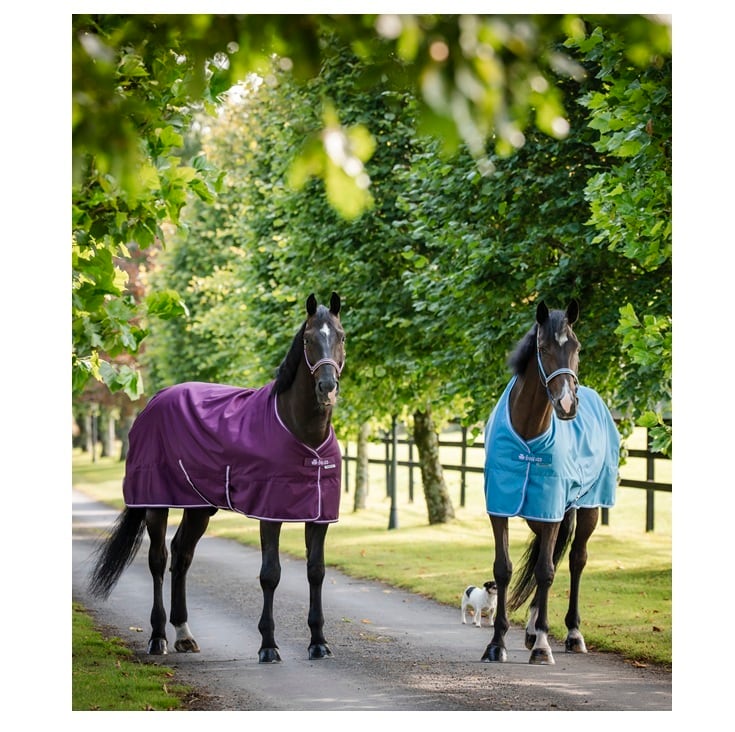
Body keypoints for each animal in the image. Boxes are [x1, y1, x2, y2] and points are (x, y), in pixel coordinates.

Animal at [88, 292, 346, 663]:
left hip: (199, 507)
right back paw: (157, 637)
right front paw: (268, 645)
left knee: (182, 556)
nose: (327, 387)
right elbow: (270, 574)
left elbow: (316, 572)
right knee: (158, 560)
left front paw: (318, 642)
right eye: (309, 339)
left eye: (341, 336)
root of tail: (155, 399)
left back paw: (184, 634)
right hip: (155, 503)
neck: (301, 431)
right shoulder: (269, 512)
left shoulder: (319, 515)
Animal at [481, 300, 619, 665]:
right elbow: (504, 569)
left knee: (574, 560)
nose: (567, 404)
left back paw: (571, 633)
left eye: (577, 347)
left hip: (587, 509)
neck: (529, 431)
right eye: (543, 348)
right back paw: (531, 630)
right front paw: (497, 643)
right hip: (540, 517)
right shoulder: (501, 506)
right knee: (552, 556)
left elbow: (545, 571)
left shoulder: (551, 508)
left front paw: (543, 646)